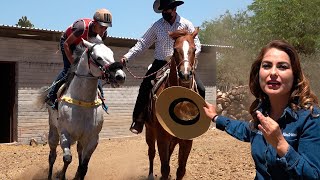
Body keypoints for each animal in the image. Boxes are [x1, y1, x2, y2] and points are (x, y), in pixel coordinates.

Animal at [35, 37, 124, 179]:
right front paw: (61, 175)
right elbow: (67, 159)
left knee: (78, 152)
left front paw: (76, 174)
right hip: (53, 131)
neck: (83, 102)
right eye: (98, 57)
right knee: (52, 156)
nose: (120, 76)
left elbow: (83, 166)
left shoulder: (93, 139)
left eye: (112, 54)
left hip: (81, 139)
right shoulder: (65, 134)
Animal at [146, 27, 200, 179]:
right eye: (175, 50)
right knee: (151, 153)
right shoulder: (162, 138)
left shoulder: (187, 140)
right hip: (149, 130)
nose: (185, 74)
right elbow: (164, 168)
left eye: (194, 49)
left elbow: (180, 169)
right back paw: (150, 175)